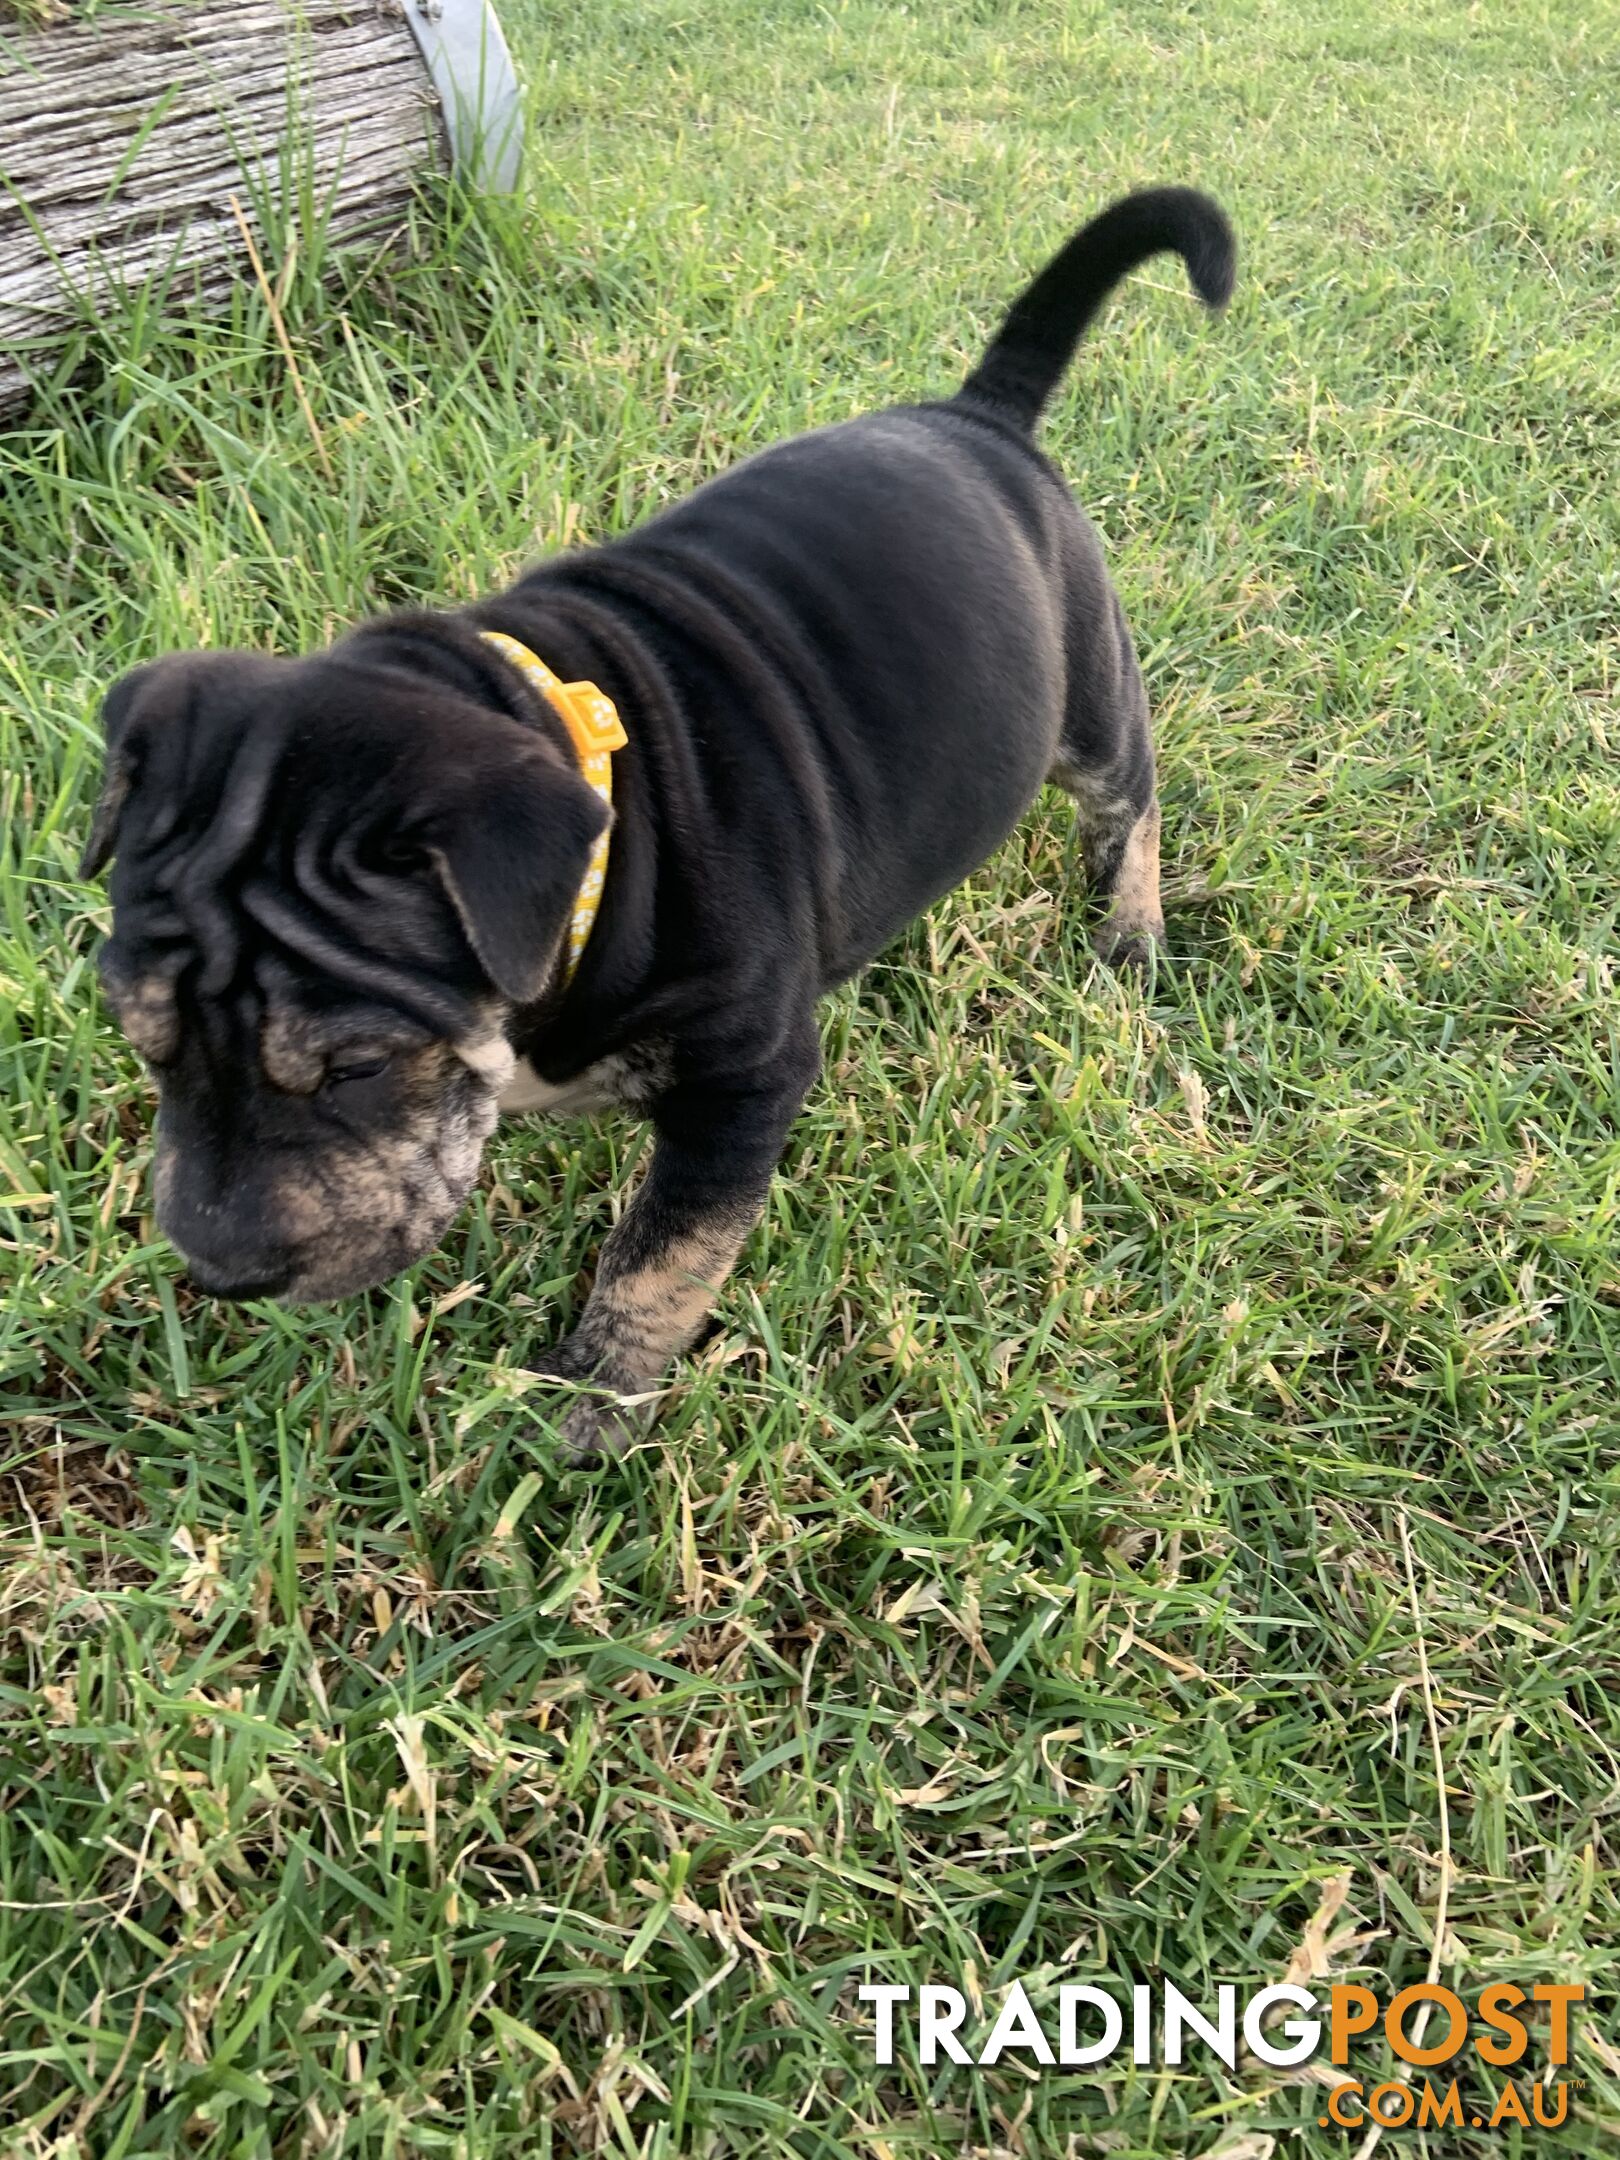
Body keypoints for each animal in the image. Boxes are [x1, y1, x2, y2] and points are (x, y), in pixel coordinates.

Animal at [82, 190, 1235, 1451]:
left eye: (357, 1069)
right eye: (142, 1043)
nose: (221, 1274)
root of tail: (979, 417)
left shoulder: (742, 1081)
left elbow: (665, 1257)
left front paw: (593, 1403)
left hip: (1089, 691)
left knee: (1130, 802)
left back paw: (1127, 935)